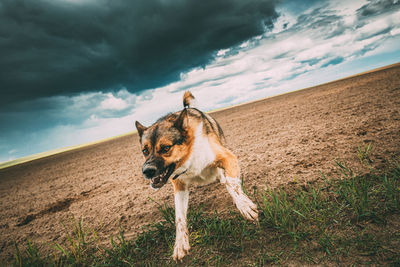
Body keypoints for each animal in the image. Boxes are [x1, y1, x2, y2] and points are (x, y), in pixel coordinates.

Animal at [135, 91, 260, 262]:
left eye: (166, 148)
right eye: (145, 150)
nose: (146, 171)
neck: (189, 155)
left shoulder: (228, 158)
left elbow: (232, 184)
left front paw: (245, 206)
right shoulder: (179, 185)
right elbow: (179, 217)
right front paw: (180, 243)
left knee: (226, 179)